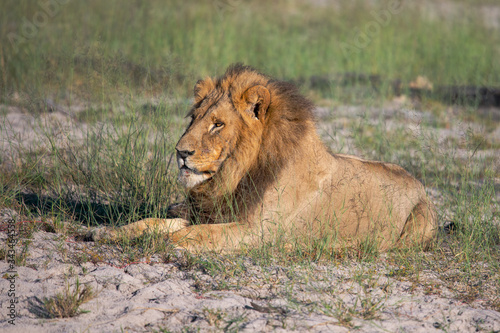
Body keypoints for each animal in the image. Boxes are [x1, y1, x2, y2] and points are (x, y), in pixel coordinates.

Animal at [99, 64, 436, 252]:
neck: (235, 175)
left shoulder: (256, 231)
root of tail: (419, 182)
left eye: (218, 124)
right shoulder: (209, 213)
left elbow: (192, 235)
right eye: (194, 118)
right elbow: (153, 222)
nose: (181, 152)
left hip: (417, 224)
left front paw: (160, 243)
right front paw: (107, 232)